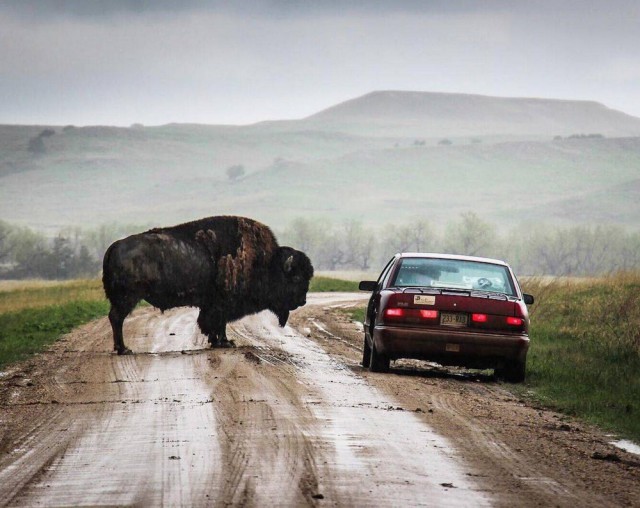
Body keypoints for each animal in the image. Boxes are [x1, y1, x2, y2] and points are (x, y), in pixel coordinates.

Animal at [101, 216, 314, 356]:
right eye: (296, 278)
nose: (302, 301)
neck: (265, 262)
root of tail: (114, 247)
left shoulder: (213, 305)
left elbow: (216, 323)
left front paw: (218, 341)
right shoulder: (222, 304)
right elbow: (219, 323)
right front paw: (225, 343)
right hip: (127, 297)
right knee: (116, 318)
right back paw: (124, 349)